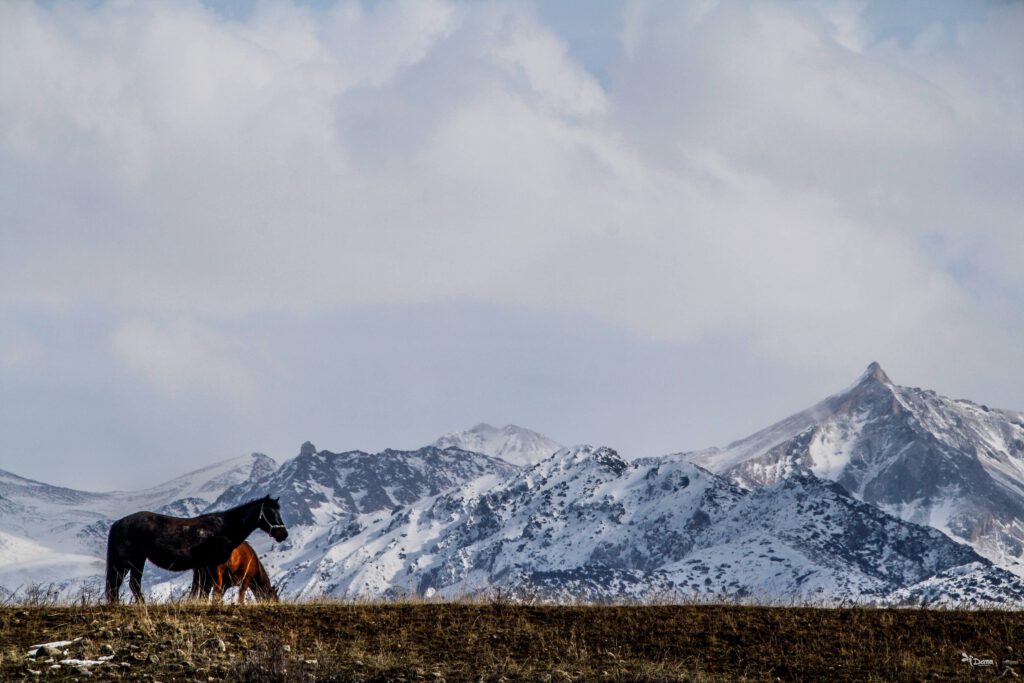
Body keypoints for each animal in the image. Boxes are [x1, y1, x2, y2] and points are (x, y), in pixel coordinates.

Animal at [105, 497, 288, 602]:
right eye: (270, 512)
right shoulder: (211, 566)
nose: (283, 534)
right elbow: (208, 590)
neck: (224, 528)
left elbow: (201, 590)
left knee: (119, 585)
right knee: (129, 585)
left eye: (279, 511)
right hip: (133, 560)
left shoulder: (203, 567)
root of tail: (119, 523)